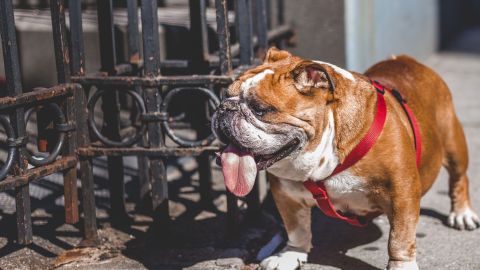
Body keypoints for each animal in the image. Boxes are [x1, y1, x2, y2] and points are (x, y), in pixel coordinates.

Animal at [212, 47, 478, 268]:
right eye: (225, 95)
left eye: (260, 109)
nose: (224, 108)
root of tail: (406, 60)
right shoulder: (286, 194)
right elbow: (296, 229)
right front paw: (291, 254)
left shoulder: (403, 195)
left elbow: (400, 240)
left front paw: (401, 266)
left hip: (453, 142)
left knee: (460, 177)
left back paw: (462, 214)